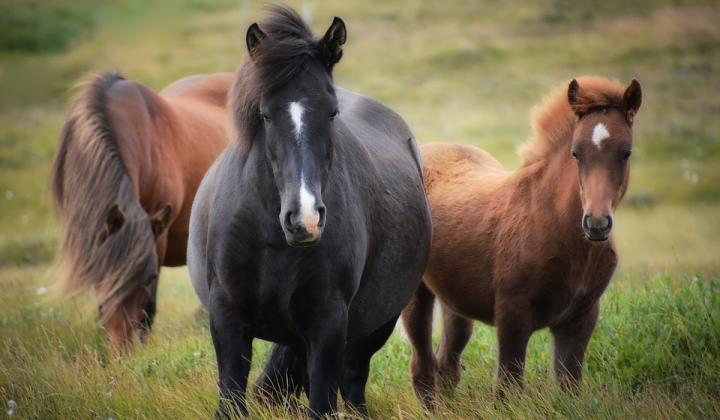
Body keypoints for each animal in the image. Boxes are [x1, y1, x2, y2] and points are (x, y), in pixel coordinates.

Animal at [187, 6, 434, 420]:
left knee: (352, 382)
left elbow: (322, 401)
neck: (271, 240)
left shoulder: (328, 325)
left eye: (332, 113)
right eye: (265, 115)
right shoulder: (227, 320)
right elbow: (232, 398)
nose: (305, 219)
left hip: (373, 327)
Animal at [402, 77, 644, 406]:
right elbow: (508, 387)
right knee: (422, 366)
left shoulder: (581, 318)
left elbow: (570, 386)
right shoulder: (512, 313)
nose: (596, 224)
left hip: (455, 299)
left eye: (626, 152)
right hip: (416, 293)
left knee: (447, 362)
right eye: (576, 153)